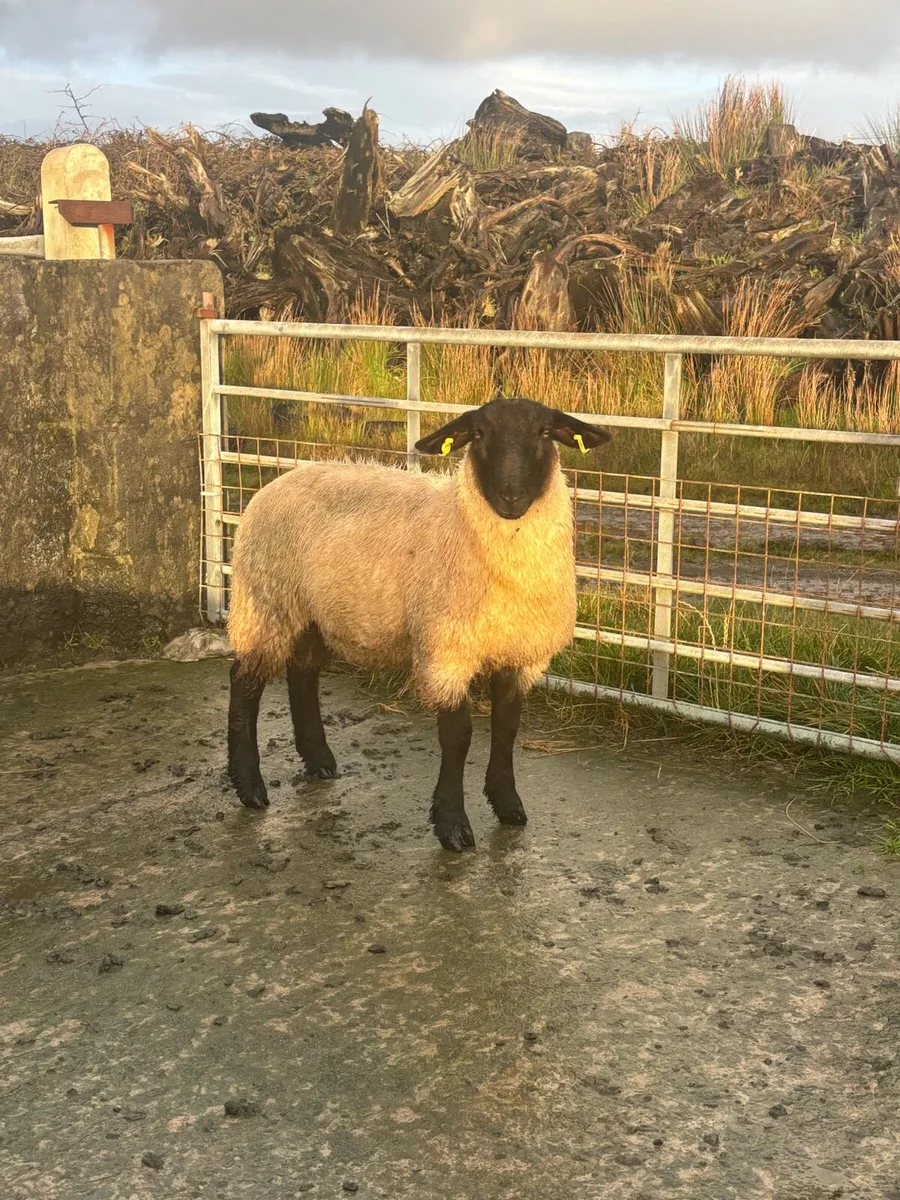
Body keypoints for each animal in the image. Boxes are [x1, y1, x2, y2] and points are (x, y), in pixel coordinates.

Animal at [226, 397, 611, 851]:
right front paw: (452, 826)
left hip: (316, 613)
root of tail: (277, 482)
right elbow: (458, 737)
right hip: (266, 601)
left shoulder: (519, 653)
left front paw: (507, 804)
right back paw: (250, 786)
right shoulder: (446, 650)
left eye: (545, 433)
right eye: (478, 434)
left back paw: (319, 761)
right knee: (244, 684)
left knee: (301, 674)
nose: (510, 497)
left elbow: (507, 728)